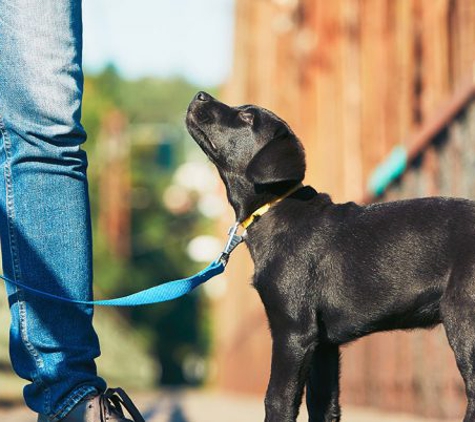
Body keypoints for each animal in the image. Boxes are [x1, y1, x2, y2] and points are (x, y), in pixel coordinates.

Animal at [186, 91, 475, 422]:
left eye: (247, 118)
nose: (200, 95)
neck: (274, 208)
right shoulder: (323, 345)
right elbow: (323, 405)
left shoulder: (293, 331)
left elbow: (278, 399)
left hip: (464, 319)